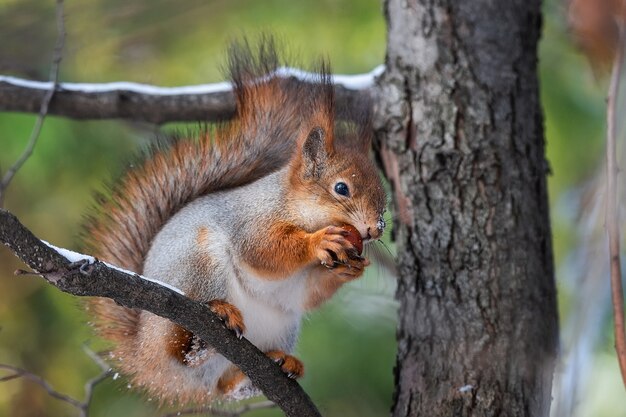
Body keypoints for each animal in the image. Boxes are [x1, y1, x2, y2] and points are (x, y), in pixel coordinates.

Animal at [83, 38, 386, 404]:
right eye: (341, 188)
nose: (375, 229)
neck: (295, 208)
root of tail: (145, 359)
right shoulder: (251, 220)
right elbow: (264, 251)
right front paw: (319, 242)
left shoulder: (298, 286)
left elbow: (306, 294)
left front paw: (351, 268)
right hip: (198, 265)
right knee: (178, 350)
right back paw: (213, 321)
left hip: (279, 327)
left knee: (222, 386)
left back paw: (273, 366)